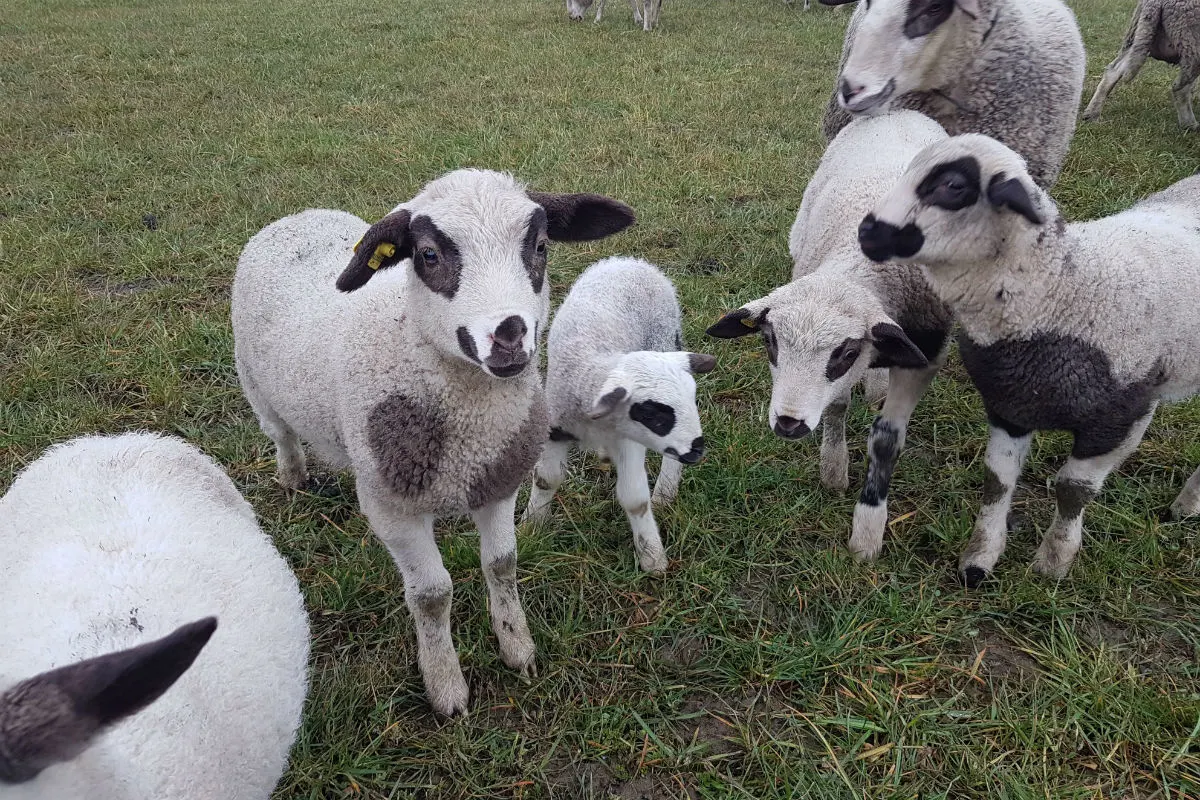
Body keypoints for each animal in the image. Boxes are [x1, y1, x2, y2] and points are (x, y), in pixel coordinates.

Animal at [231, 168, 634, 716]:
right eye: (427, 255)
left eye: (541, 245)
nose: (510, 334)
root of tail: (296, 216)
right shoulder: (392, 509)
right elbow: (431, 595)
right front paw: (446, 687)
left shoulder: (498, 482)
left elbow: (502, 566)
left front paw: (517, 648)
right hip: (256, 385)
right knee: (282, 435)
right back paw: (293, 478)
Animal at [521, 256, 715, 574]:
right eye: (650, 412)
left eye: (692, 395)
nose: (697, 449)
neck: (592, 366)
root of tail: (630, 261)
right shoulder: (557, 427)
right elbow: (546, 479)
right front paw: (531, 525)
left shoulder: (629, 439)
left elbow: (635, 499)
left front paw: (652, 558)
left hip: (665, 337)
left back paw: (665, 492)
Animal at [706, 111, 951, 562]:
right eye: (769, 341)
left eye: (847, 351)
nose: (788, 423)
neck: (864, 264)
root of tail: (899, 112)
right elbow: (836, 407)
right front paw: (834, 470)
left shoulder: (927, 353)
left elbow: (886, 439)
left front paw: (867, 533)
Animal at [858, 132, 1200, 584]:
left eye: (953, 186)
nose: (866, 232)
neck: (1060, 293)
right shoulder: (1011, 407)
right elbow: (997, 480)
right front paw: (980, 560)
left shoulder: (1122, 416)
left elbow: (1073, 490)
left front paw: (1053, 565)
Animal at [1082, 0, 1200, 130]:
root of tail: (1155, 3)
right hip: (1191, 43)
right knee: (1180, 88)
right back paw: (1189, 125)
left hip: (1137, 35)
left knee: (1113, 71)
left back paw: (1091, 115)